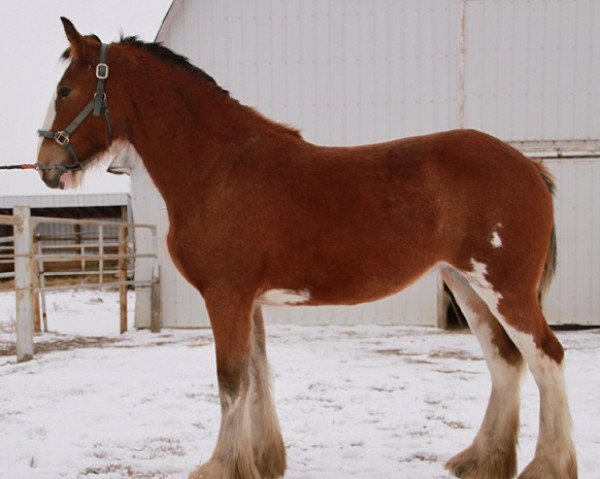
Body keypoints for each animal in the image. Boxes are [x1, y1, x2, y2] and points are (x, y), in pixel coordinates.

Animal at [37, 18, 576, 479]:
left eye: (64, 90)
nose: (45, 165)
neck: (219, 167)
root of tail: (529, 166)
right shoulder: (248, 300)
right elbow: (257, 376)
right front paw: (262, 460)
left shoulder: (226, 296)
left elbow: (231, 381)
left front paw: (221, 466)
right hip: (465, 283)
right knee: (504, 360)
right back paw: (480, 459)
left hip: (504, 287)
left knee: (546, 356)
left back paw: (547, 465)